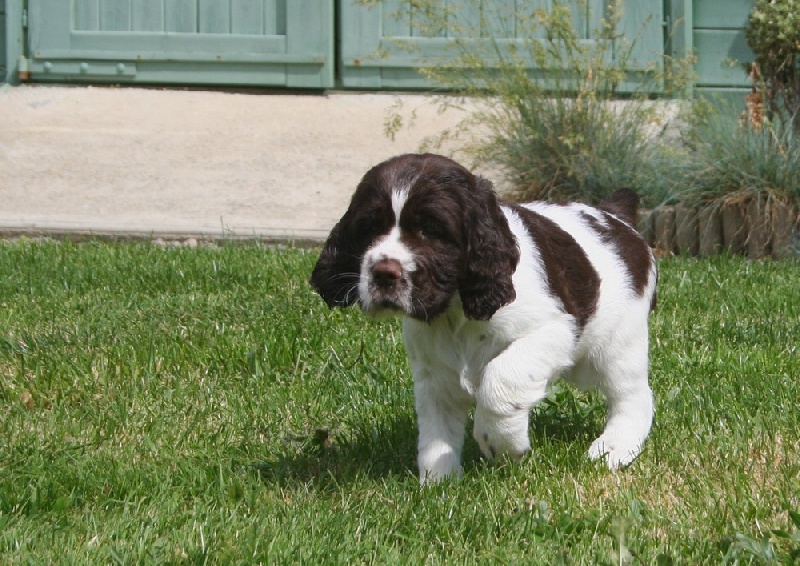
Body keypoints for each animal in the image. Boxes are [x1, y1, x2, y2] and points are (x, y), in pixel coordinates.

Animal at [310, 153, 656, 486]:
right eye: (369, 227)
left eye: (431, 229)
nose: (383, 273)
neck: (454, 311)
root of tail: (615, 217)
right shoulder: (433, 374)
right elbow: (436, 433)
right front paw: (438, 483)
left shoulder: (556, 328)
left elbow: (501, 379)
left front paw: (503, 446)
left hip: (617, 345)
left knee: (633, 396)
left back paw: (614, 447)